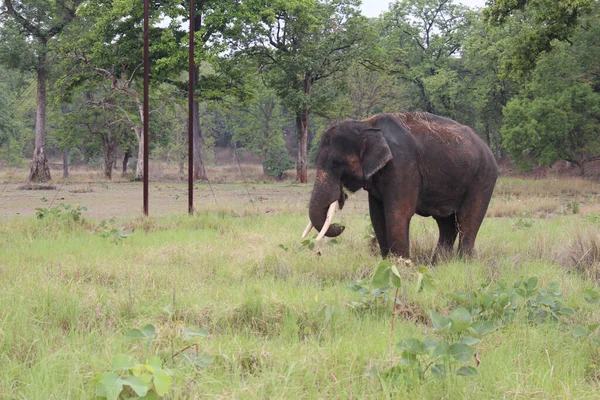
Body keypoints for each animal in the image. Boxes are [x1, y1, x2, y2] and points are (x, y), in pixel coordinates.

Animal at [302, 112, 500, 260]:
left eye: (336, 165)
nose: (341, 226)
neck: (366, 124)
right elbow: (377, 215)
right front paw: (386, 262)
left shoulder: (403, 165)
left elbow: (398, 213)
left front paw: (401, 264)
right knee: (446, 223)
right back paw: (439, 263)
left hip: (483, 176)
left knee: (468, 219)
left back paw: (463, 262)